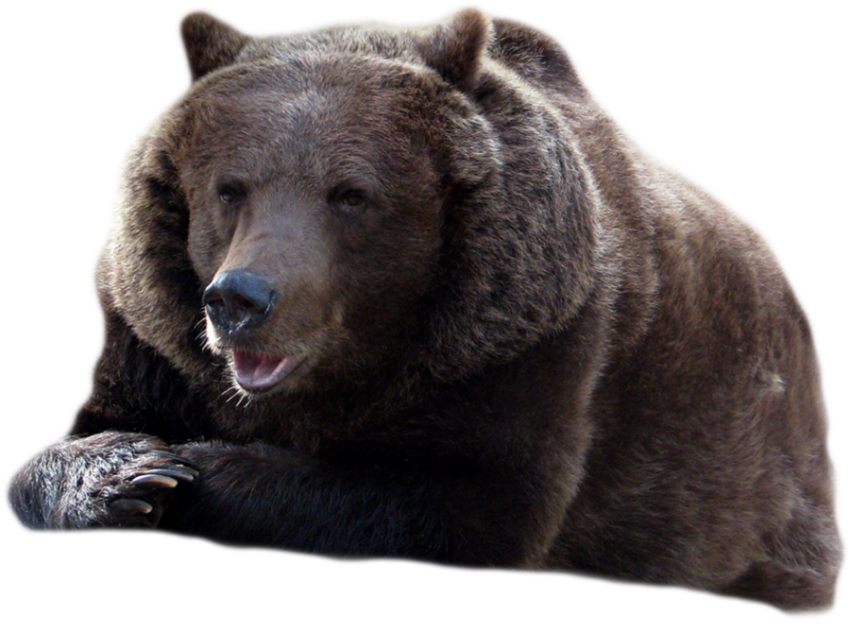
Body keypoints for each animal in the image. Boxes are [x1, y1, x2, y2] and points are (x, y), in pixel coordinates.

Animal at [2, 2, 845, 620]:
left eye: (351, 194)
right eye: (229, 187)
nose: (241, 299)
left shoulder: (528, 341)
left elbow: (453, 502)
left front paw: (196, 469)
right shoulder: (151, 338)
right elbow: (50, 452)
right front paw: (133, 469)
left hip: (756, 484)